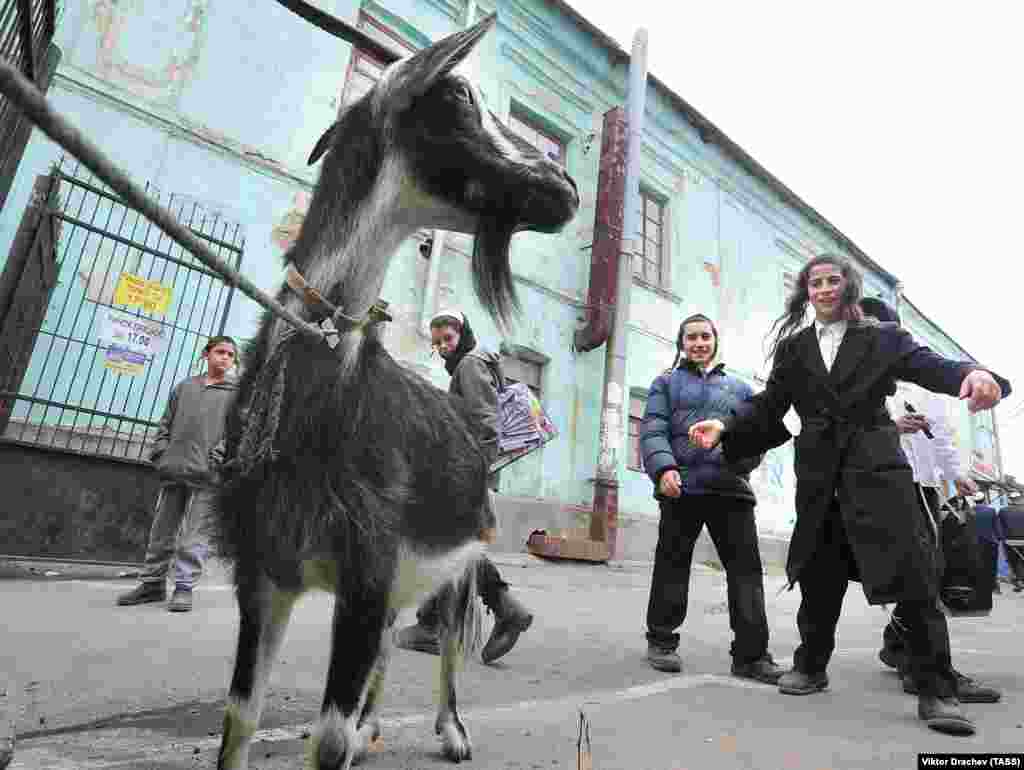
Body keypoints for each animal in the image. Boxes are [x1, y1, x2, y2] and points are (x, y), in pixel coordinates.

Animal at [211, 13, 581, 770]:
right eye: (461, 97)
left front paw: (360, 735)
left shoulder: (368, 569)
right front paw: (349, 731)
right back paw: (374, 727)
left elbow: (326, 736)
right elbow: (240, 718)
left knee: (449, 642)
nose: (565, 186)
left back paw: (452, 731)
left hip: (460, 555)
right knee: (389, 652)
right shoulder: (263, 571)